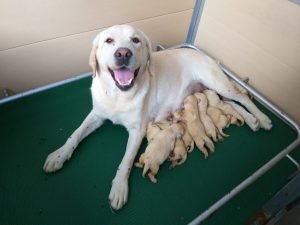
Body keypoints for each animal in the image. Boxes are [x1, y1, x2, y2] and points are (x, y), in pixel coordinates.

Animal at [42, 24, 272, 209]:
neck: (118, 95)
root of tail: (203, 54)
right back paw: (251, 120)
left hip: (217, 83)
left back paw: (262, 118)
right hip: (211, 92)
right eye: (109, 40)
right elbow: (75, 134)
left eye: (135, 40)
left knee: (243, 98)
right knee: (232, 104)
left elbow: (126, 161)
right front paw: (59, 155)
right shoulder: (97, 114)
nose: (123, 53)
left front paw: (119, 187)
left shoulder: (138, 130)